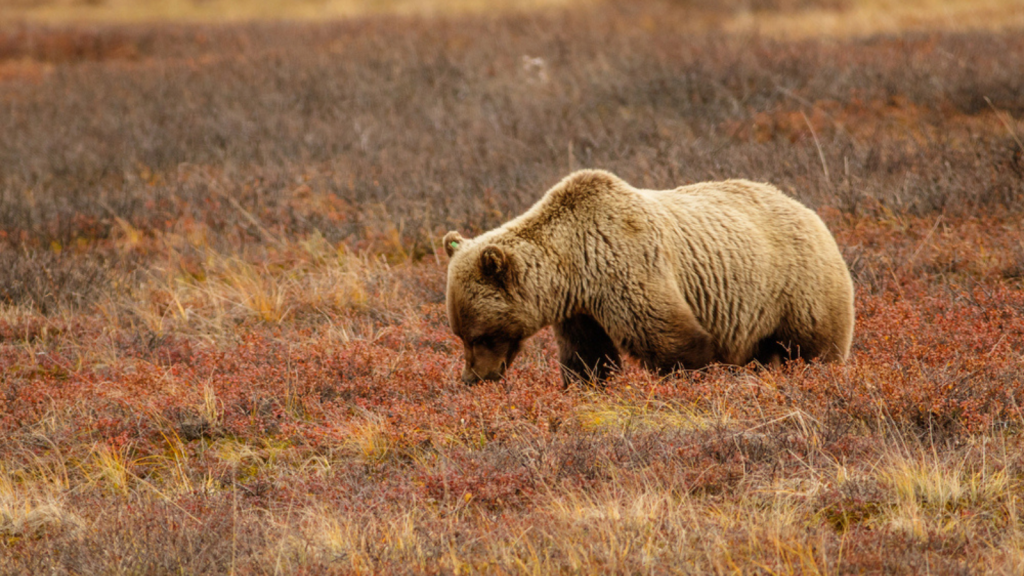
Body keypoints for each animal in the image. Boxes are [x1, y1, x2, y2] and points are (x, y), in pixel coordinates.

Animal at [444, 168, 851, 383]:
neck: (575, 269)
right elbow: (587, 358)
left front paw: (689, 378)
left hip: (798, 289)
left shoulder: (626, 265)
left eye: (481, 335)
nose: (475, 377)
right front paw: (587, 385)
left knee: (816, 348)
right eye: (460, 333)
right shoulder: (581, 311)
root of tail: (812, 213)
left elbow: (672, 340)